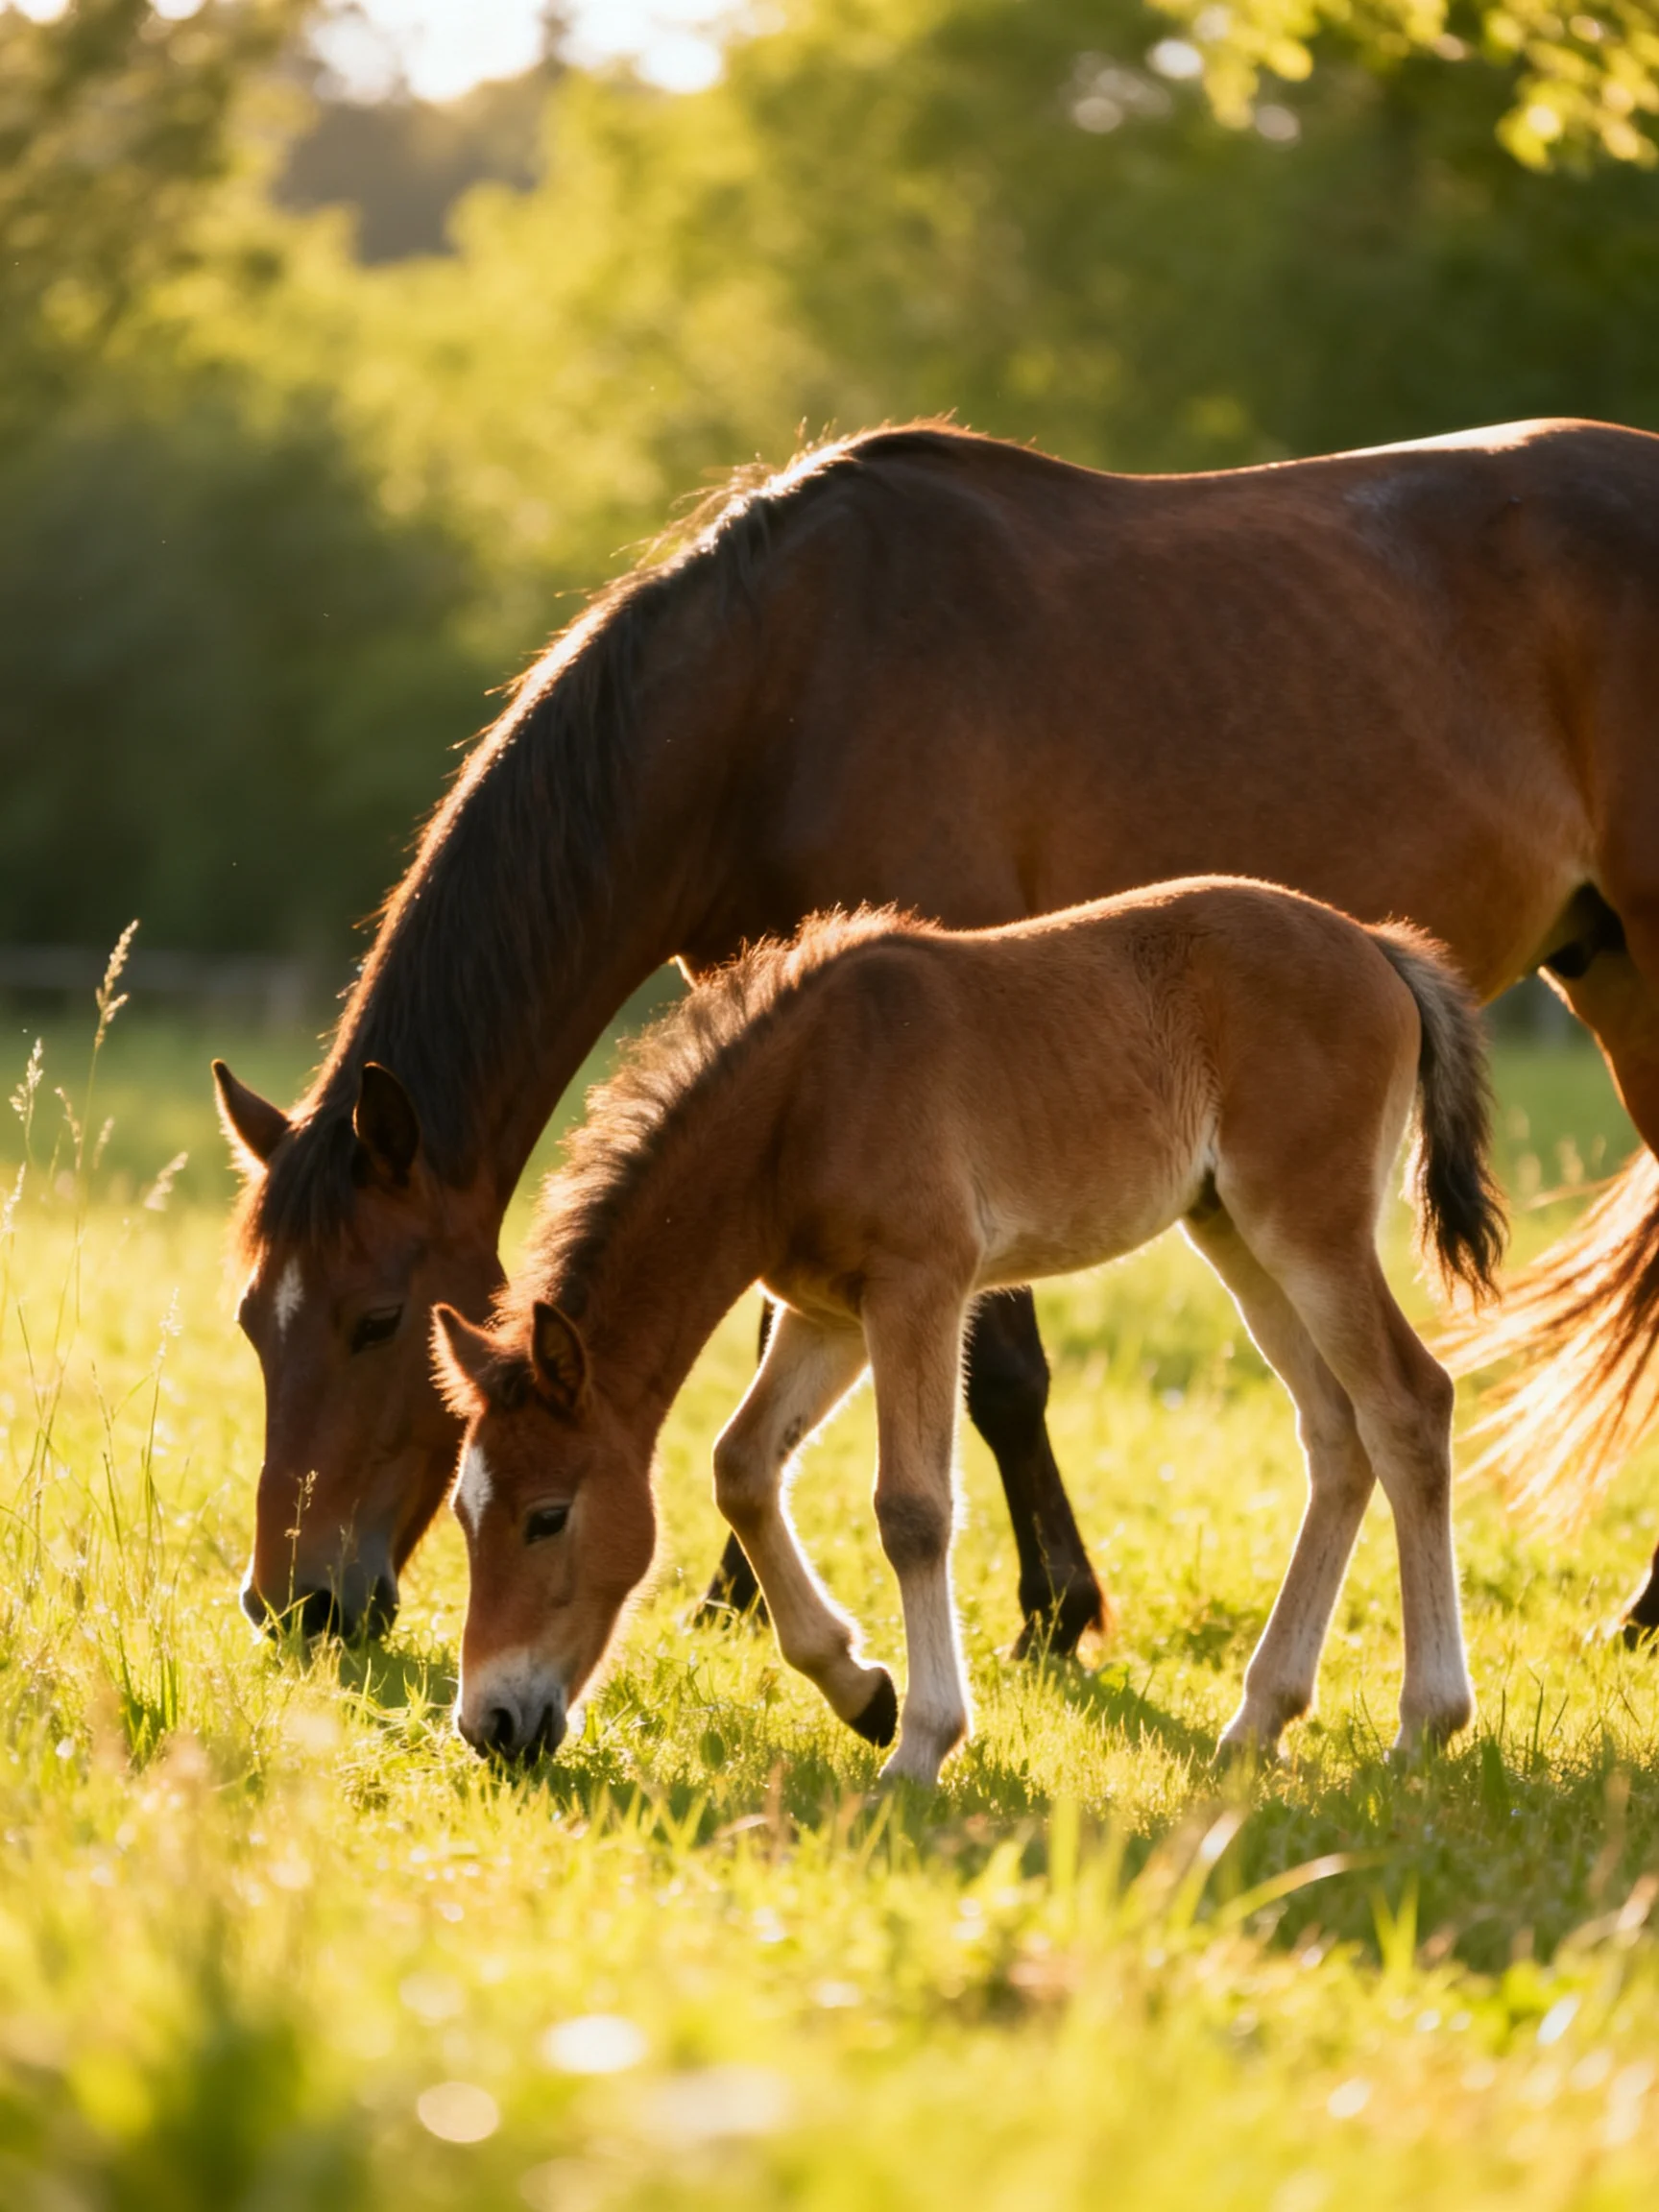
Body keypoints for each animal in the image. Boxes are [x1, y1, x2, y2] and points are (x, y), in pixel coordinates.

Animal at [217, 414, 1659, 1650]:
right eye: (251, 1324)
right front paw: (741, 1600)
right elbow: (772, 1337)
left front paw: (1054, 1610)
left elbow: (999, 1371)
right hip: (1608, 976)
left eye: (378, 1320)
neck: (779, 691)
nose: (296, 1603)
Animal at [432, 883, 1504, 1783]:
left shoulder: (922, 1287)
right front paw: (861, 1691)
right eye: (463, 1516)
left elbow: (911, 1509)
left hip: (1307, 1230)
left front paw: (919, 1746)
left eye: (548, 1516)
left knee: (1409, 1405)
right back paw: (1259, 1720)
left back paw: (1426, 1722)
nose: (490, 1725)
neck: (801, 1099)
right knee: (1336, 1430)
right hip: (1233, 1231)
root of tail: (1377, 945)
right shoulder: (829, 1314)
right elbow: (741, 1466)